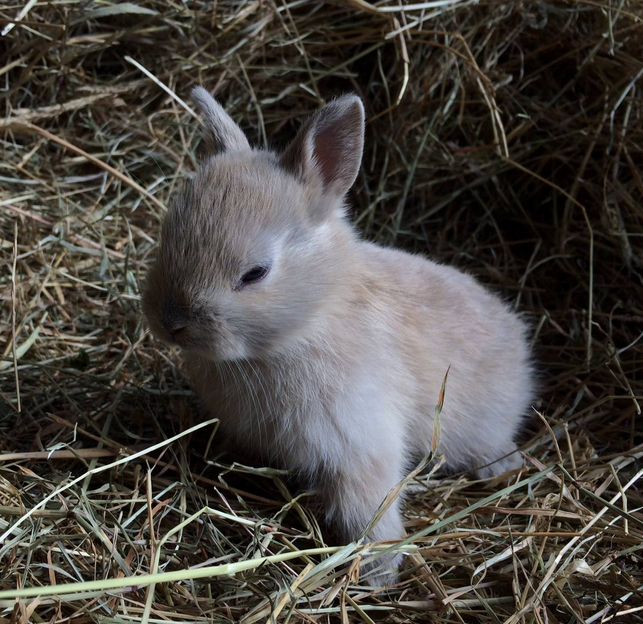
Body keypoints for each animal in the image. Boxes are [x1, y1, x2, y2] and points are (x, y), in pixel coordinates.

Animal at [142, 87, 535, 584]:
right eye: (165, 235)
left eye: (255, 273)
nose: (170, 322)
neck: (309, 322)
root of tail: (521, 346)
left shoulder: (357, 442)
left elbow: (366, 503)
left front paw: (379, 570)